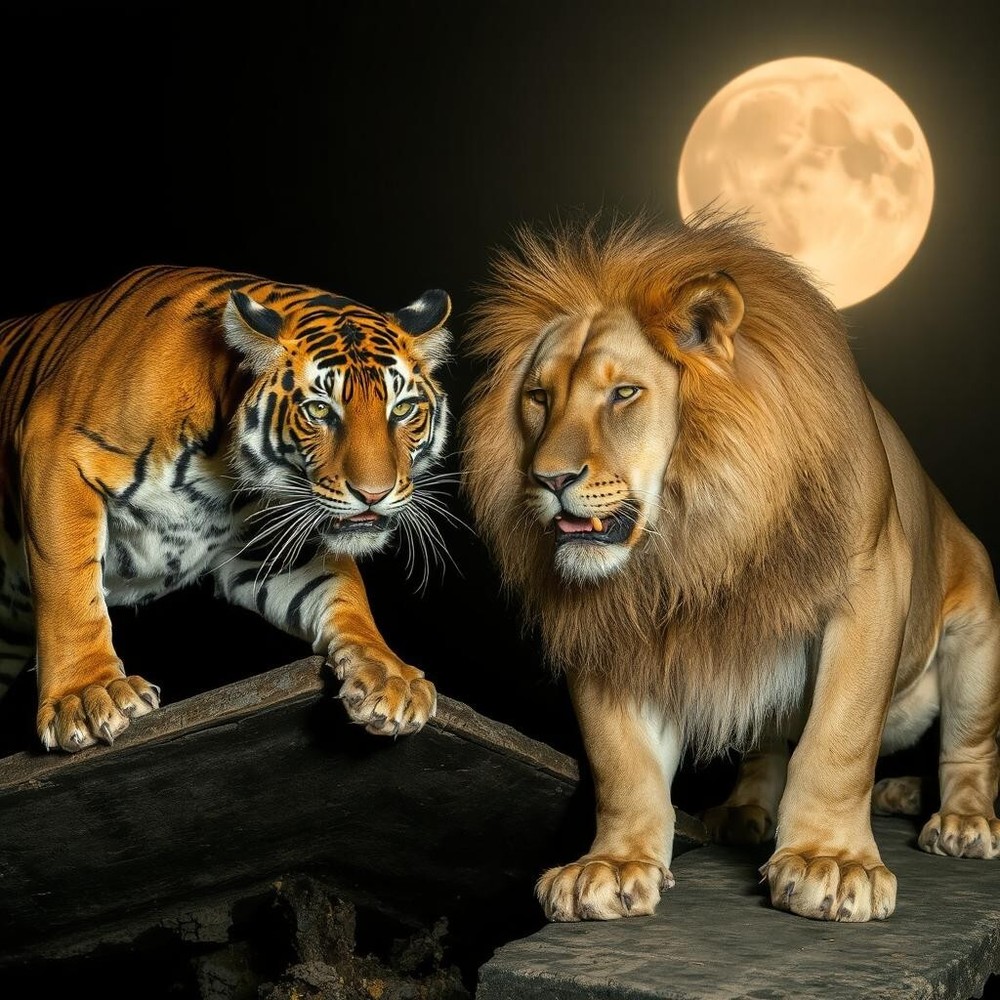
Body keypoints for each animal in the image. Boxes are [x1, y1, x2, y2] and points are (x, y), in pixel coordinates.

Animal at [0, 264, 454, 752]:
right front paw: (86, 693)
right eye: (318, 410)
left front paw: (390, 675)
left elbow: (342, 593)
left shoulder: (271, 539)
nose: (373, 493)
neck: (221, 467)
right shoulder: (56, 453)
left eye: (403, 409)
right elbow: (69, 589)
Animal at [459, 210, 1000, 923]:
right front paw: (612, 866)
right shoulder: (609, 627)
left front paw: (832, 862)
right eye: (539, 398)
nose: (549, 479)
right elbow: (621, 762)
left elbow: (840, 736)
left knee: (968, 748)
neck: (690, 540)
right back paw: (748, 813)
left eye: (624, 393)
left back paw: (959, 820)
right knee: (765, 747)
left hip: (978, 629)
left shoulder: (869, 582)